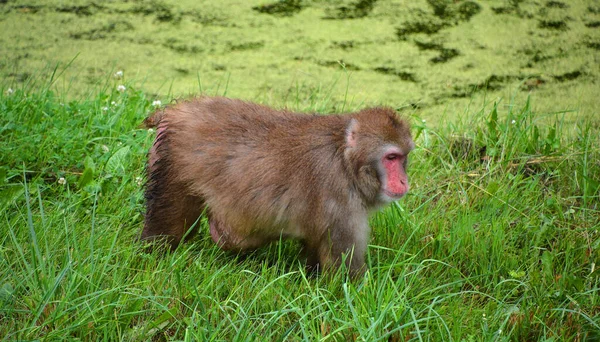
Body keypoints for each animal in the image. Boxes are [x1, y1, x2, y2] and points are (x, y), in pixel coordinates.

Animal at [142, 95, 412, 276]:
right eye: (391, 158)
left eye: (403, 157)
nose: (403, 181)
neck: (346, 160)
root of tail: (174, 111)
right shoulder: (341, 200)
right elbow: (344, 277)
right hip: (173, 161)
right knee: (170, 221)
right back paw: (154, 253)